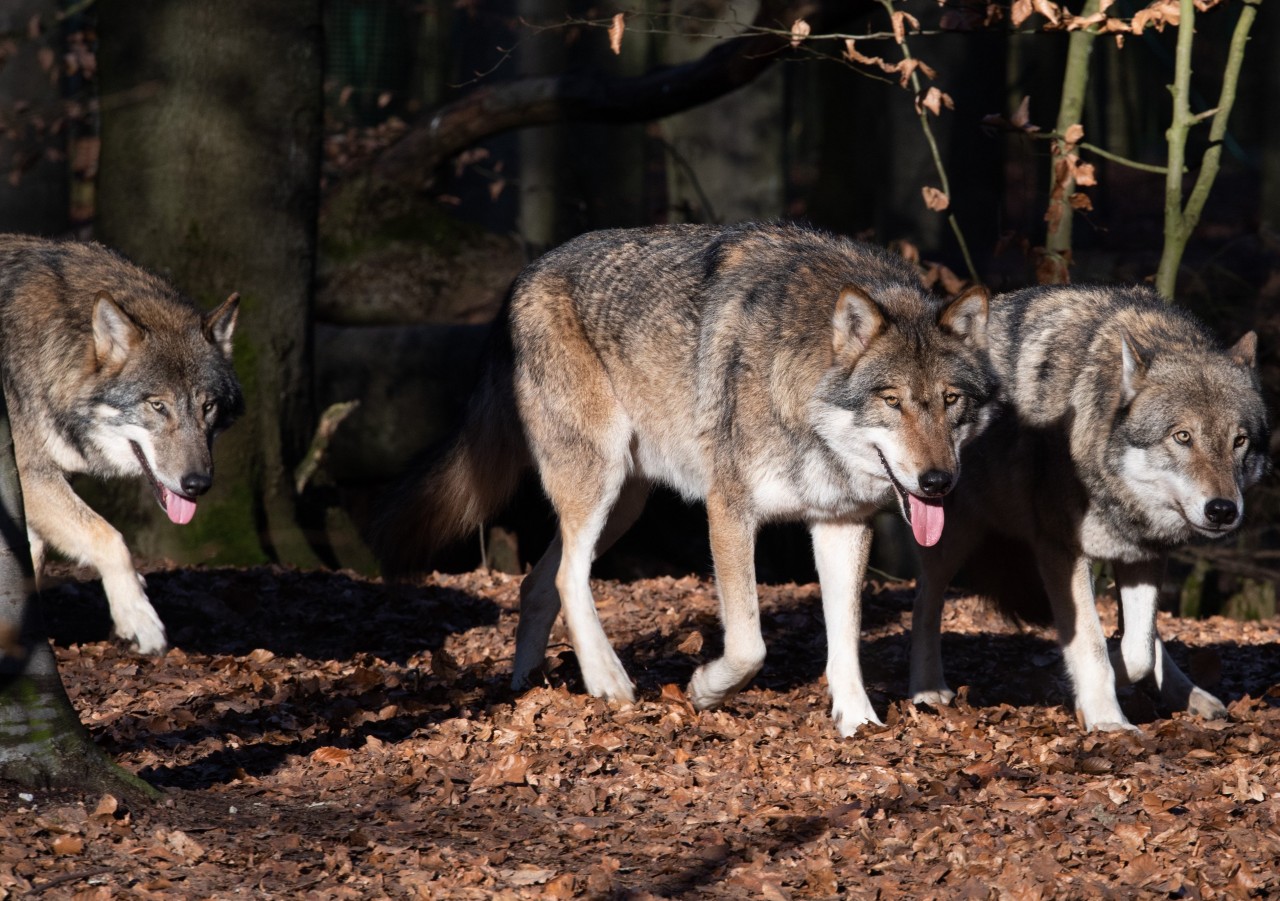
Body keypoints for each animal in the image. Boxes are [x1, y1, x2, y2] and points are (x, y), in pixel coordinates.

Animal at [373, 221, 993, 737]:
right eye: (892, 401)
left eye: (950, 401)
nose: (937, 482)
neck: (799, 391)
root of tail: (522, 278)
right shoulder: (728, 511)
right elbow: (749, 646)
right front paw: (705, 691)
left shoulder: (840, 522)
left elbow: (845, 639)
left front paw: (859, 723)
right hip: (599, 482)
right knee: (568, 576)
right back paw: (608, 681)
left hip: (624, 506)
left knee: (537, 583)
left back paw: (524, 687)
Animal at [911, 285, 1269, 726]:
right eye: (1182, 437)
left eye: (1239, 441)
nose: (1222, 510)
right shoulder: (1061, 552)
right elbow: (1093, 642)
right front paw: (1107, 719)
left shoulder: (1144, 554)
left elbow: (1137, 650)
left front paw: (1092, 688)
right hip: (952, 538)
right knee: (923, 604)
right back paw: (927, 689)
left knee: (1148, 639)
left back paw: (1190, 695)